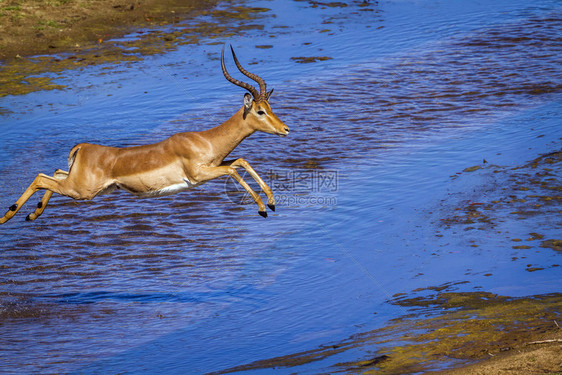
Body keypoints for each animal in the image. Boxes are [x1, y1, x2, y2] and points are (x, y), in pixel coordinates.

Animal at [0, 45, 288, 225]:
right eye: (260, 110)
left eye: (270, 106)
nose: (285, 129)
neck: (204, 140)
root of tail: (82, 147)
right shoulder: (200, 175)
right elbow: (233, 169)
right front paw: (262, 208)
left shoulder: (214, 165)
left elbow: (241, 161)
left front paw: (272, 203)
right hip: (82, 191)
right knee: (41, 178)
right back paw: (10, 215)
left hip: (80, 185)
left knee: (53, 174)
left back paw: (32, 215)